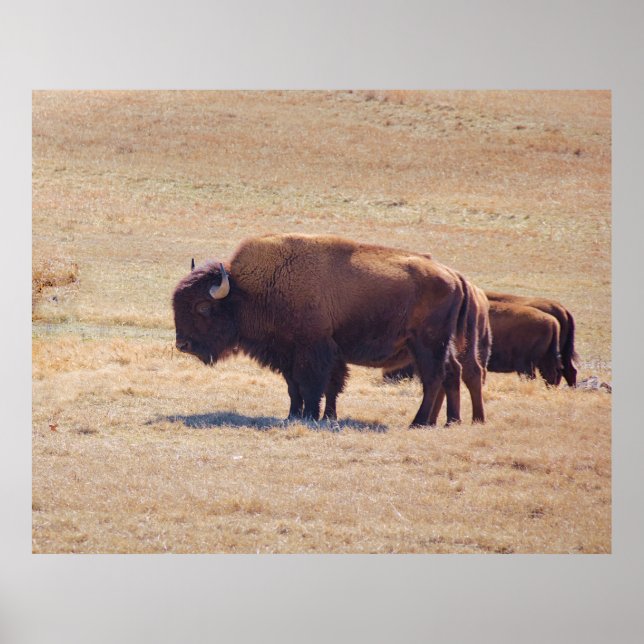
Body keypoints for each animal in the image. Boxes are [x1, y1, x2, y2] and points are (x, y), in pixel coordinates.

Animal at [173, 234, 469, 427]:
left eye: (203, 307)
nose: (182, 345)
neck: (248, 291)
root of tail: (453, 275)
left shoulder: (311, 351)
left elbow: (312, 385)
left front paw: (310, 416)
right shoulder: (291, 354)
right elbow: (303, 387)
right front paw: (303, 415)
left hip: (426, 345)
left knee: (433, 378)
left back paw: (419, 422)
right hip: (437, 346)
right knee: (450, 373)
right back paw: (448, 421)